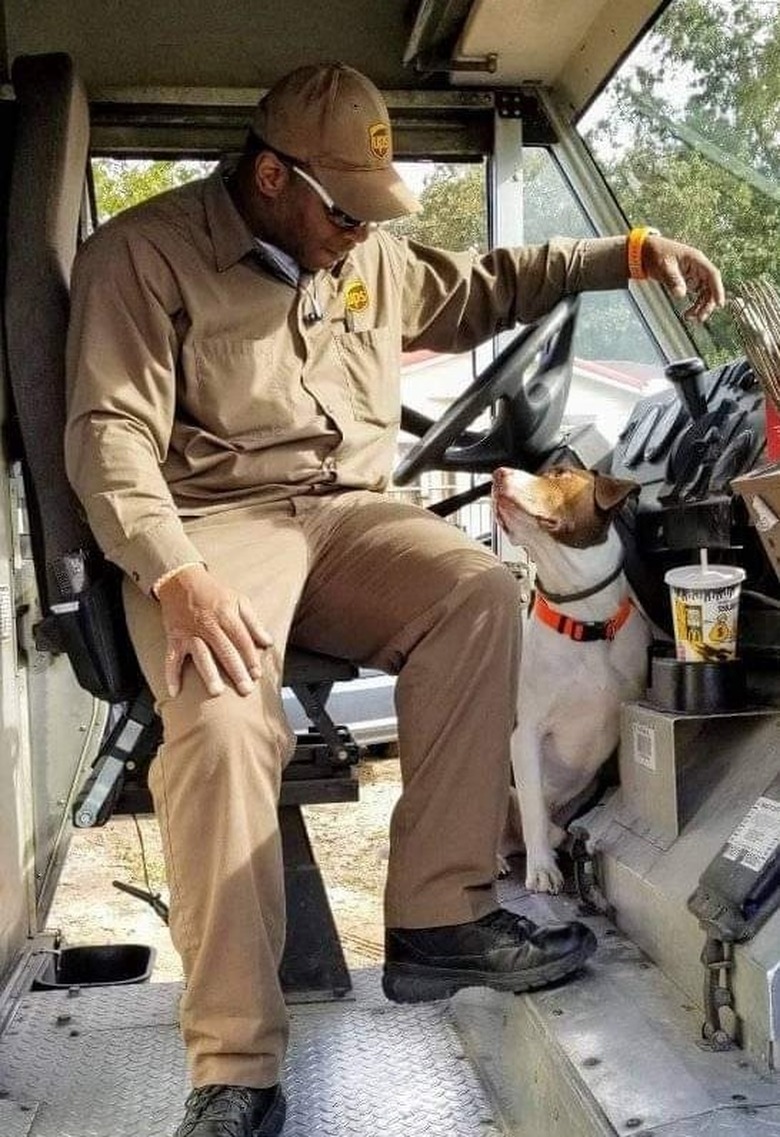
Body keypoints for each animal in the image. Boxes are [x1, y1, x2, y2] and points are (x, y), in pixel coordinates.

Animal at [495, 466, 654, 891]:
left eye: (560, 474)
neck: (587, 621)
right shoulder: (524, 734)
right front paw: (541, 869)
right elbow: (534, 810)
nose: (498, 472)